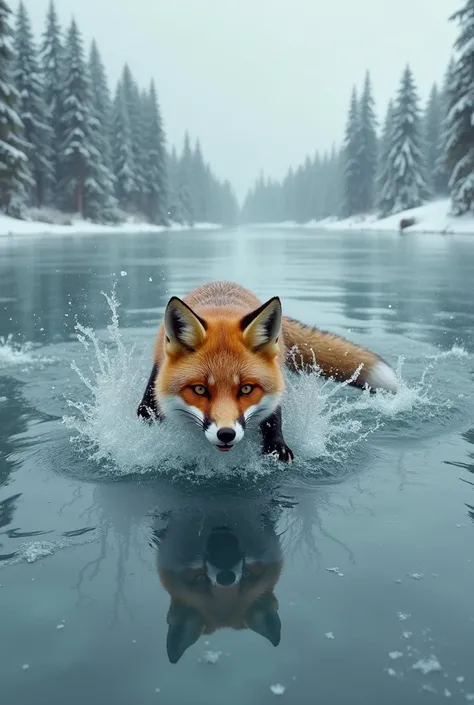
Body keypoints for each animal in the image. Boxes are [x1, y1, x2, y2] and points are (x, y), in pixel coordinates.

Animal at [137, 280, 396, 462]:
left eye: (246, 389)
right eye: (200, 389)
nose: (226, 434)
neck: (222, 312)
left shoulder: (273, 385)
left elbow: (273, 417)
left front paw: (276, 446)